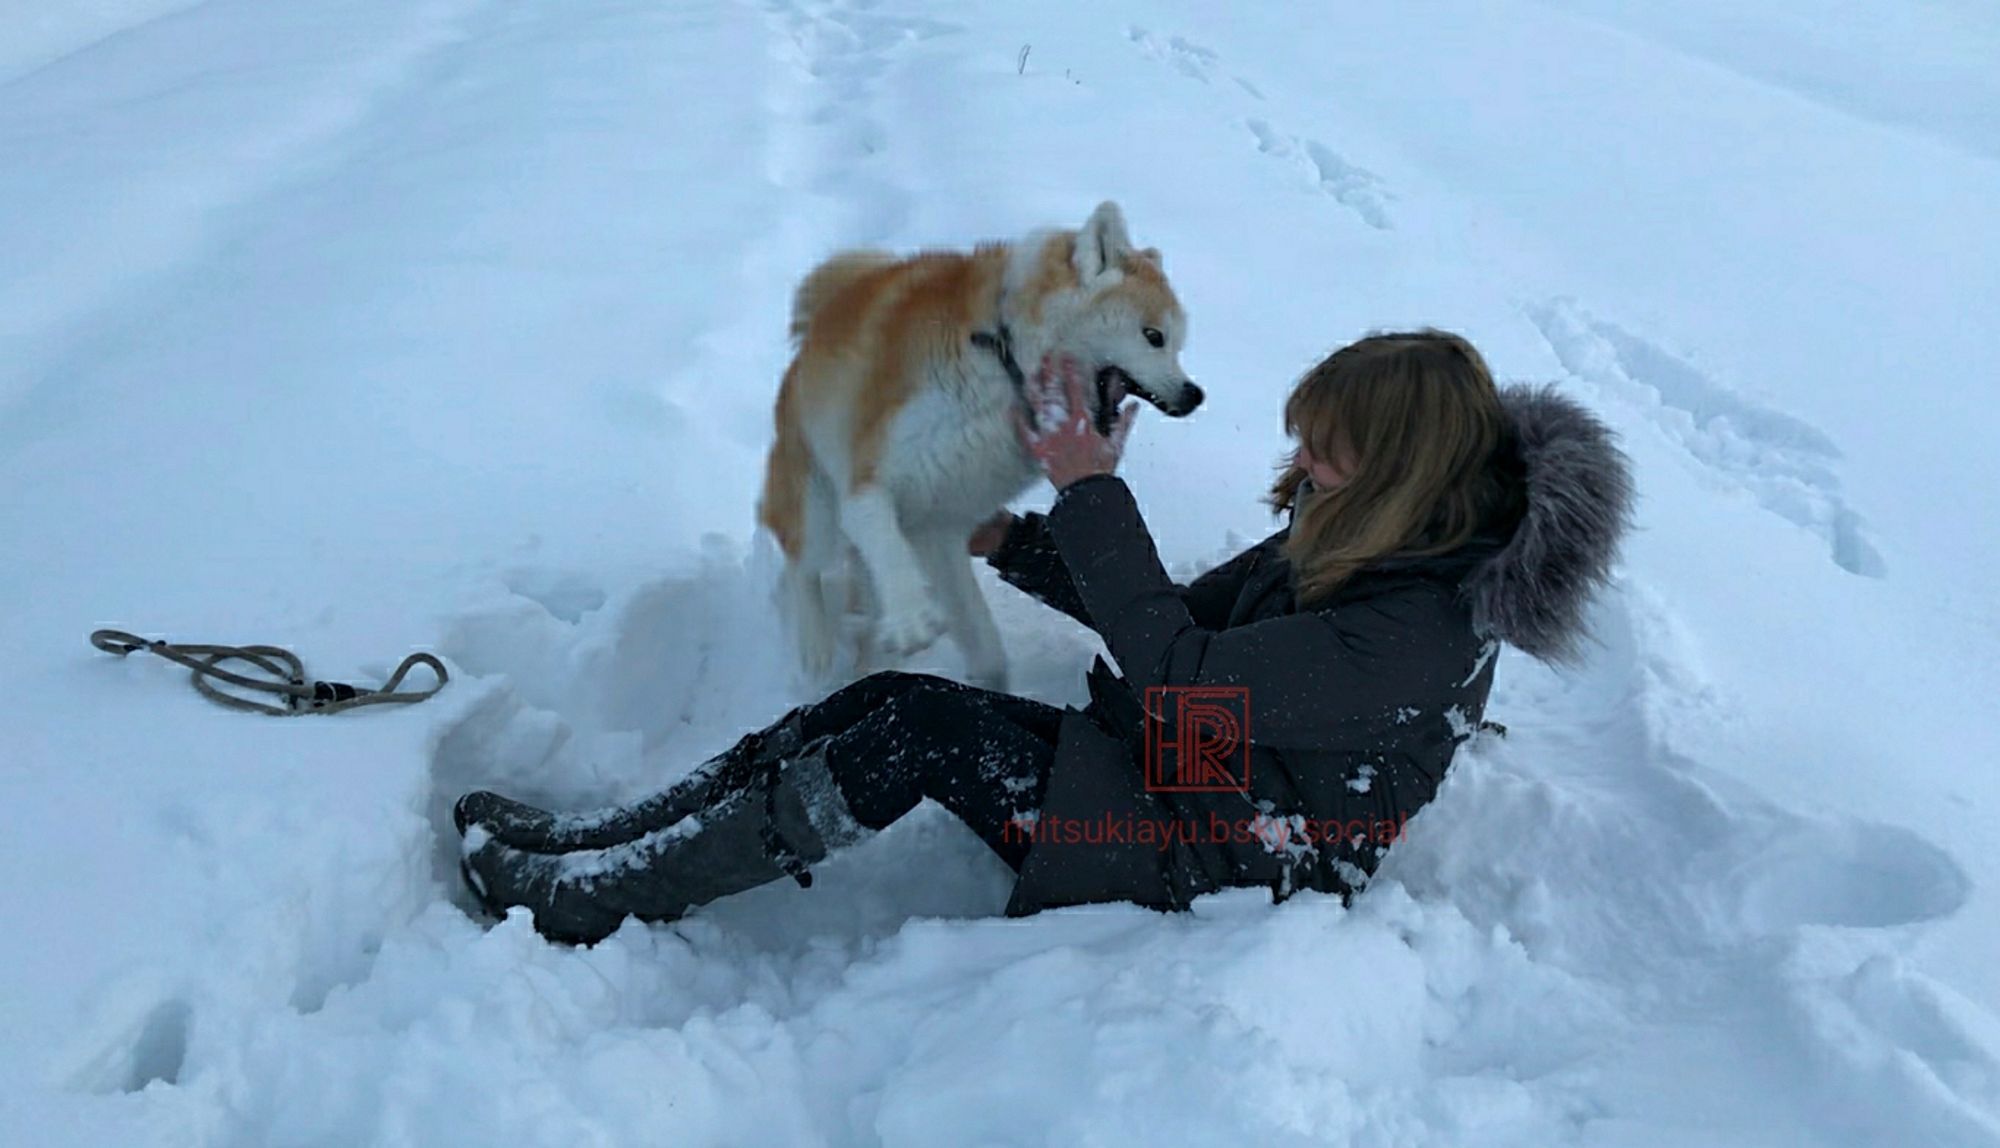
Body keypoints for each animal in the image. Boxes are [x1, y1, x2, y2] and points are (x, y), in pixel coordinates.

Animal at [752, 202, 1192, 692]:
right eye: (1154, 336)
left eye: (1178, 343)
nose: (1194, 395)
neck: (1006, 363)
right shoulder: (869, 480)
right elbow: (882, 537)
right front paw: (909, 616)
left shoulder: (941, 528)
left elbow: (985, 648)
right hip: (818, 512)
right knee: (800, 564)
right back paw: (817, 649)